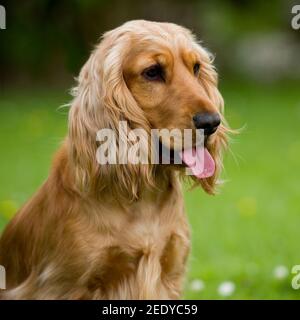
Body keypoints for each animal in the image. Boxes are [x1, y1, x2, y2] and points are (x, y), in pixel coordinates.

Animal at [0, 20, 229, 300]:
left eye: (196, 67)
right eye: (152, 72)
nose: (212, 122)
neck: (143, 200)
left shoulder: (169, 271)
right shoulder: (63, 284)